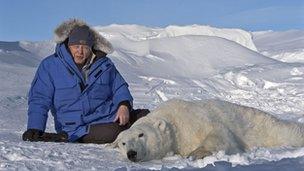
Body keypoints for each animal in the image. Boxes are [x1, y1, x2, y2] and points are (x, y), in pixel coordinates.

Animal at [111, 99, 304, 162]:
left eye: (141, 134)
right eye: (123, 143)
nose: (131, 153)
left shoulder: (194, 119)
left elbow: (219, 134)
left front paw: (196, 153)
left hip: (268, 128)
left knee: (288, 132)